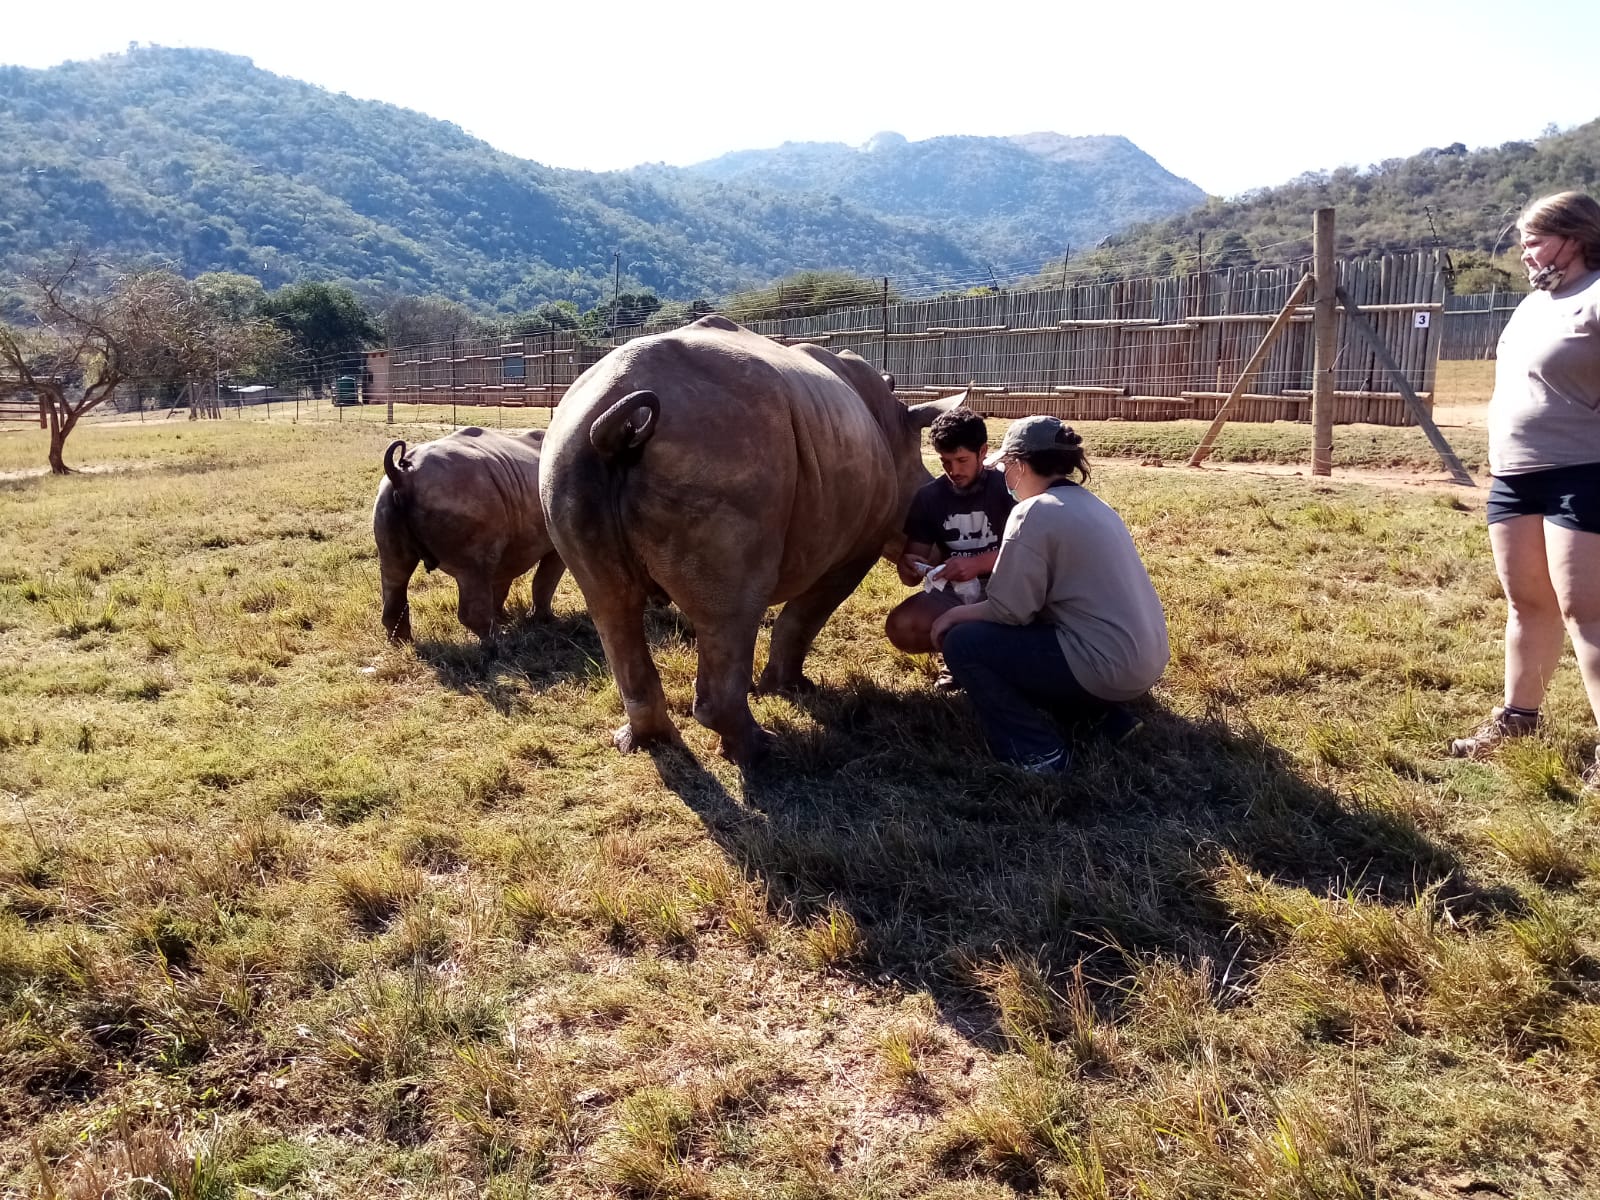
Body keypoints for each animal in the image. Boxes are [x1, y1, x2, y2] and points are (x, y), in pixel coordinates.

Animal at [374, 427, 565, 642]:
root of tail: (401, 475)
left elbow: (502, 580)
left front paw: (504, 616)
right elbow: (544, 579)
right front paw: (546, 621)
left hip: (387, 498)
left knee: (394, 571)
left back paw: (401, 642)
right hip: (459, 493)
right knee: (474, 569)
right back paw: (498, 642)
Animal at [539, 315, 959, 764]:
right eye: (929, 488)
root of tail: (614, 424)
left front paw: (780, 688)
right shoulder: (856, 547)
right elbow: (802, 618)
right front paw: (791, 688)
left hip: (567, 451)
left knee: (610, 605)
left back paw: (644, 742)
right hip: (724, 451)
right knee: (733, 614)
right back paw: (761, 751)